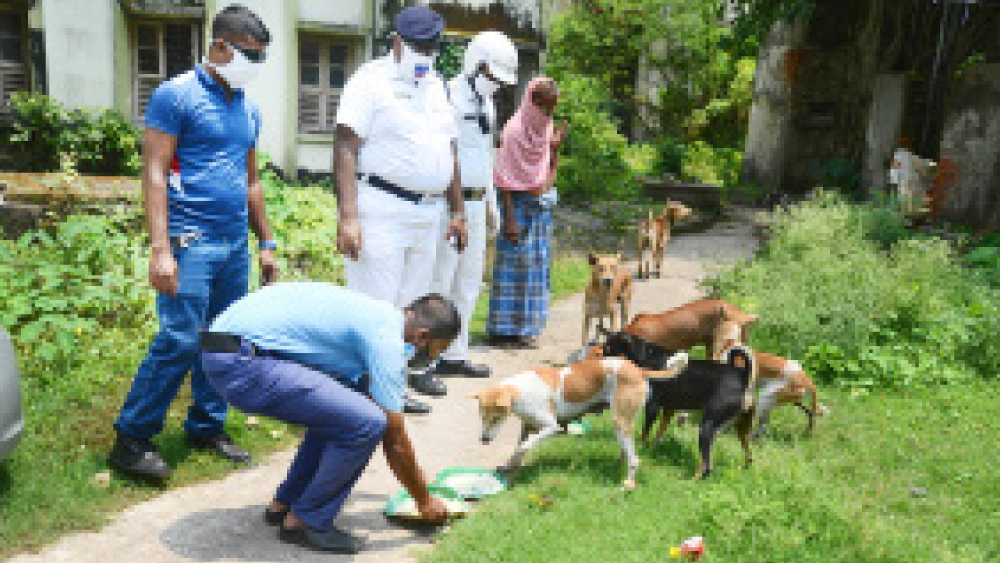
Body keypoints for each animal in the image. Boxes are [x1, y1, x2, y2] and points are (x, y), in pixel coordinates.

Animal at [472, 354, 692, 492]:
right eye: (481, 417)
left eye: (496, 417)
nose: (483, 440)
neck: (520, 390)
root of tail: (638, 369)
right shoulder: (527, 426)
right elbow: (518, 447)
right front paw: (510, 466)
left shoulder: (552, 427)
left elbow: (524, 446)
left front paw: (517, 460)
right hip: (623, 423)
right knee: (627, 451)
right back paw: (617, 464)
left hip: (620, 420)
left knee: (635, 460)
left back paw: (627, 484)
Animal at [596, 330, 752, 480]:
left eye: (609, 348)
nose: (597, 365)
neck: (645, 355)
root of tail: (741, 375)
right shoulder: (668, 409)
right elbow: (658, 433)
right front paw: (652, 449)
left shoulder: (652, 407)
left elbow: (644, 433)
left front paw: (641, 447)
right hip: (740, 429)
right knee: (747, 456)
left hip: (707, 427)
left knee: (707, 466)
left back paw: (691, 480)